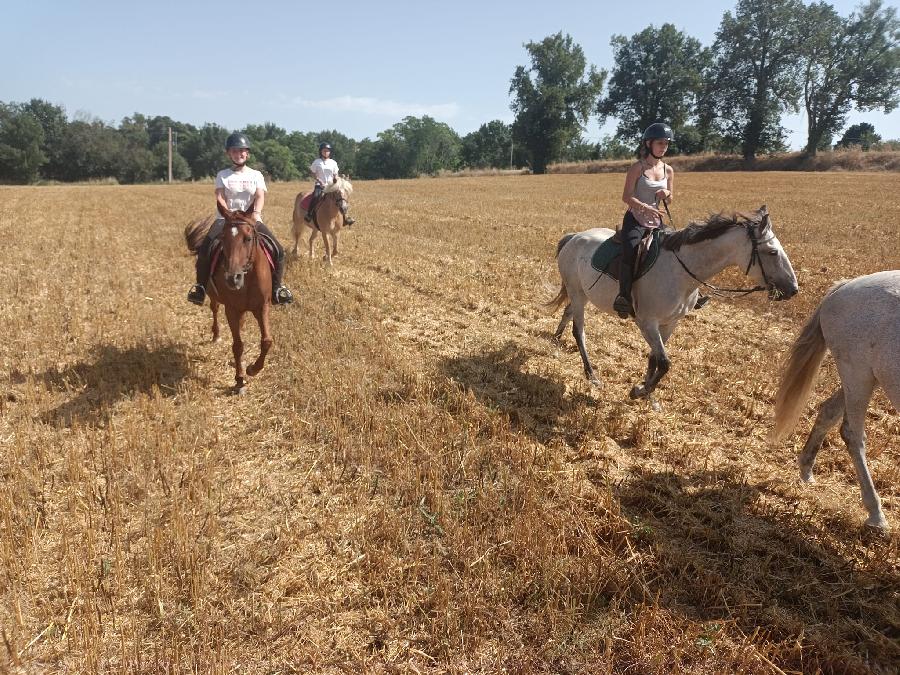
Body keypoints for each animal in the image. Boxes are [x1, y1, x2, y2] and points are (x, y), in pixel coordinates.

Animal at [185, 206, 274, 396]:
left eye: (248, 238)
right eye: (223, 238)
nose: (233, 278)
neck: (248, 279)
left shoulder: (262, 307)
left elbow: (266, 341)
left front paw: (252, 369)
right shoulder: (231, 309)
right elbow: (238, 345)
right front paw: (240, 380)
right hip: (214, 297)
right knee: (215, 309)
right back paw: (216, 335)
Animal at [552, 203, 800, 398]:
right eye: (772, 252)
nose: (793, 289)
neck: (680, 272)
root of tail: (573, 237)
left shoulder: (671, 322)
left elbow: (655, 358)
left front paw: (644, 387)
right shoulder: (647, 322)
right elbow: (665, 362)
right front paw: (641, 391)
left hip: (581, 294)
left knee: (567, 312)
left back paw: (555, 339)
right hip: (577, 293)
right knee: (579, 330)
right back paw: (591, 374)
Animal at [768, 272, 896, 532]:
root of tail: (845, 286)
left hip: (871, 377)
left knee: (828, 411)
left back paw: (806, 470)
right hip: (857, 374)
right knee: (852, 433)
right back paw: (876, 515)